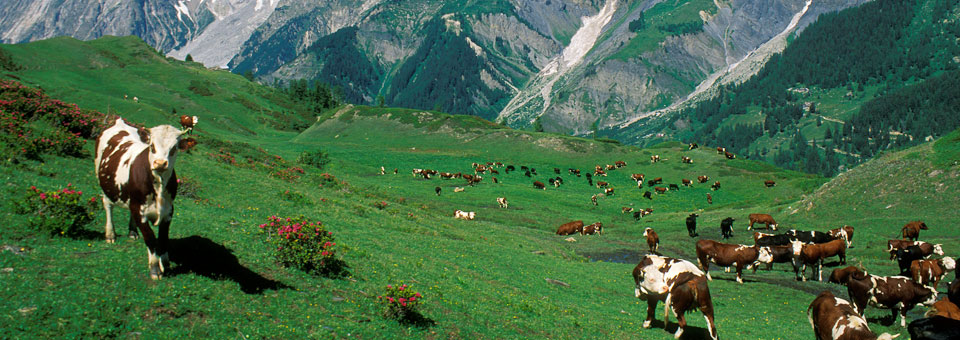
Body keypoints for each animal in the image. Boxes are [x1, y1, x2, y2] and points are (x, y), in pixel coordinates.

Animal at [97, 118, 195, 280]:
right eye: (152, 146)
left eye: (174, 148)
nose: (160, 163)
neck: (158, 185)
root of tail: (119, 122)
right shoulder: (139, 210)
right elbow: (150, 238)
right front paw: (155, 268)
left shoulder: (168, 211)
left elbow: (163, 239)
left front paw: (165, 264)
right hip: (105, 184)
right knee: (108, 205)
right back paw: (110, 234)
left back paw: (132, 232)